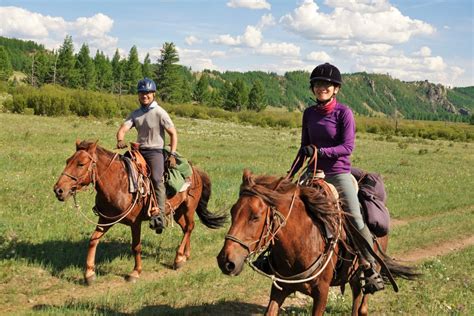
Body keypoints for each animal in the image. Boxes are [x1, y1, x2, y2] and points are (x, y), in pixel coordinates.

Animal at [53, 141, 228, 284]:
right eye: (67, 161)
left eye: (81, 164)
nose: (58, 190)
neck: (119, 184)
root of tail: (195, 170)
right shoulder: (105, 220)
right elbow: (93, 240)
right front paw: (89, 274)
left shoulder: (134, 223)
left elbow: (136, 246)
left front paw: (135, 272)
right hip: (178, 211)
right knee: (186, 228)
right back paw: (186, 255)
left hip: (188, 207)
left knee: (190, 227)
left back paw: (178, 258)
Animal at [217, 170, 416, 316]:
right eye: (233, 211)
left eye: (255, 217)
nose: (225, 261)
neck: (301, 243)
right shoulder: (279, 288)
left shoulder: (322, 292)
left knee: (362, 306)